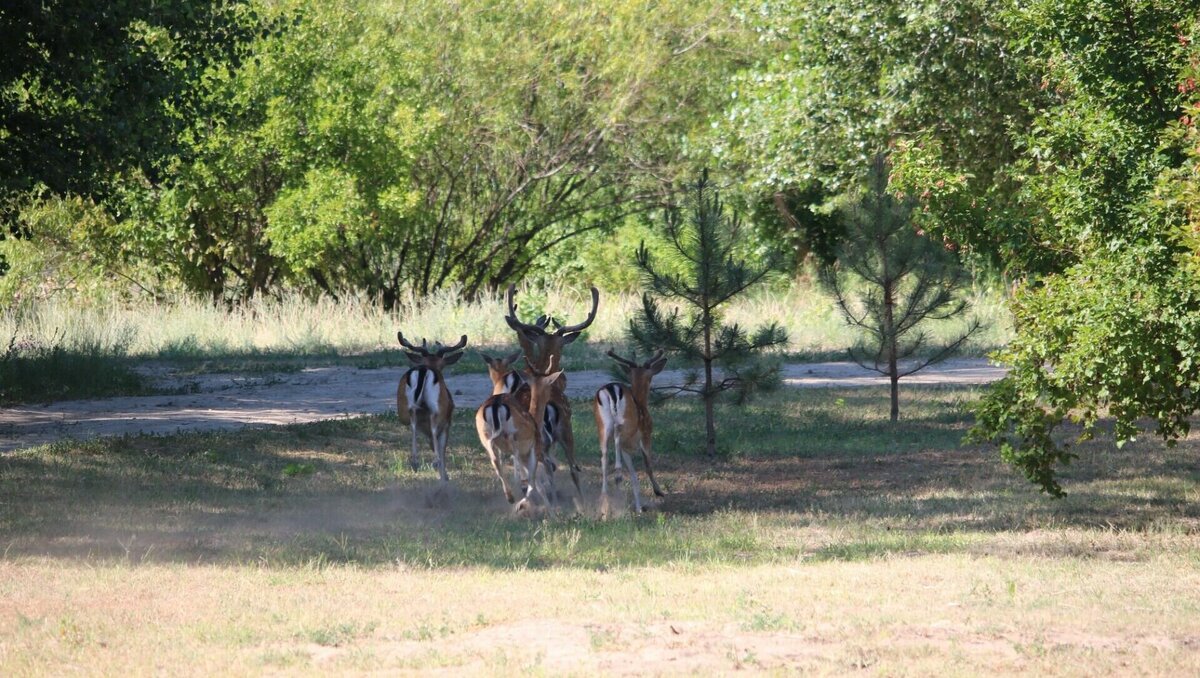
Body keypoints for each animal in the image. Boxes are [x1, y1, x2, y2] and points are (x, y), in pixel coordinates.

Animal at [396, 331, 465, 487]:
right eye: (443, 365)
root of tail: (424, 370)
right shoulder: (447, 423)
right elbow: (440, 447)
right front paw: (444, 476)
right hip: (437, 407)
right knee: (432, 425)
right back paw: (434, 462)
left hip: (405, 407)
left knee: (413, 423)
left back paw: (415, 462)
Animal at [595, 348, 672, 518]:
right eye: (650, 376)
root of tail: (611, 390)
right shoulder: (646, 434)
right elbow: (647, 464)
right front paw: (658, 491)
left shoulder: (627, 448)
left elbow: (634, 475)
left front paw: (638, 507)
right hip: (625, 423)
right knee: (617, 440)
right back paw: (617, 481)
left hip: (602, 426)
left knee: (604, 457)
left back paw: (604, 506)